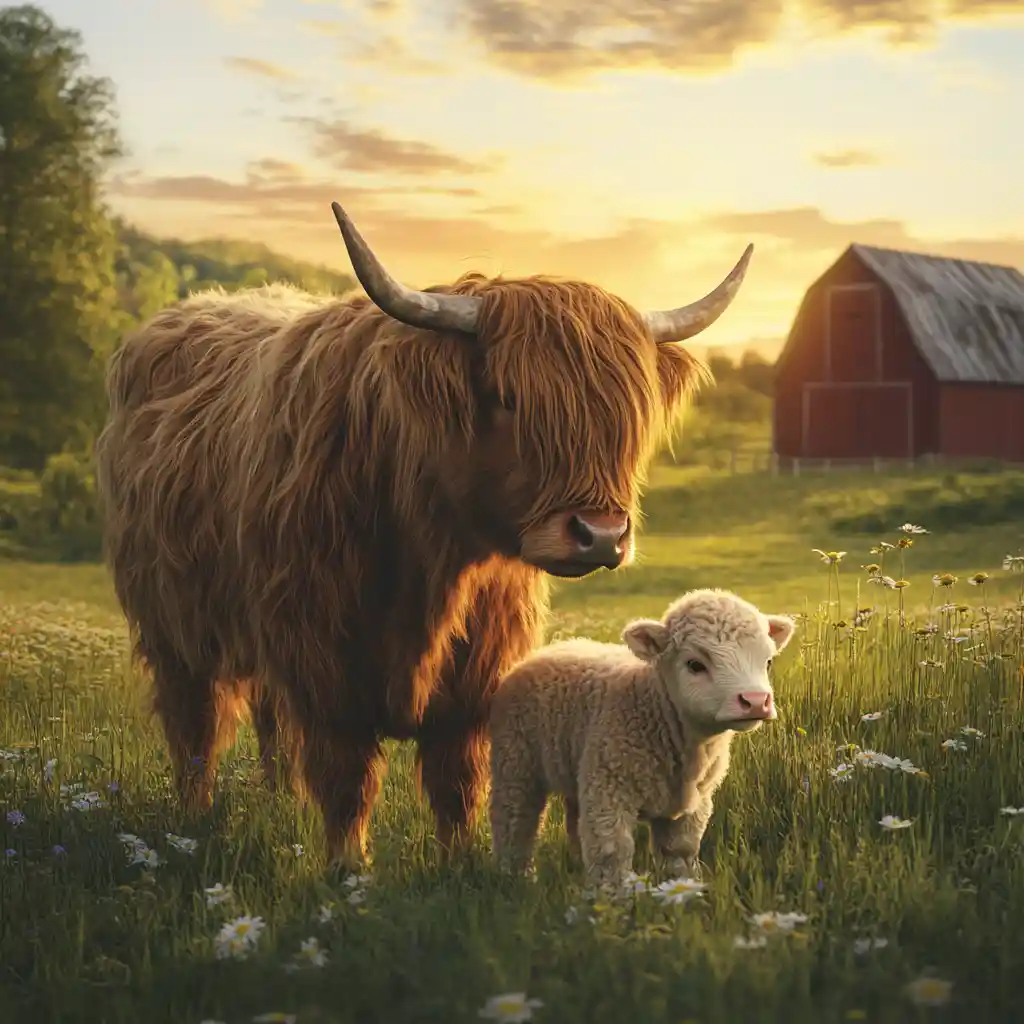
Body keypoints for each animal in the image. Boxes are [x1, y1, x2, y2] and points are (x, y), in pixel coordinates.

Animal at [93, 200, 752, 870]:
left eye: (625, 414)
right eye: (507, 397)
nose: (600, 536)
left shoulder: (477, 666)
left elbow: (455, 776)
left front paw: (461, 862)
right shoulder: (322, 657)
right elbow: (346, 777)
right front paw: (347, 869)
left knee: (271, 718)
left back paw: (280, 799)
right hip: (173, 625)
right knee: (196, 724)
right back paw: (194, 818)